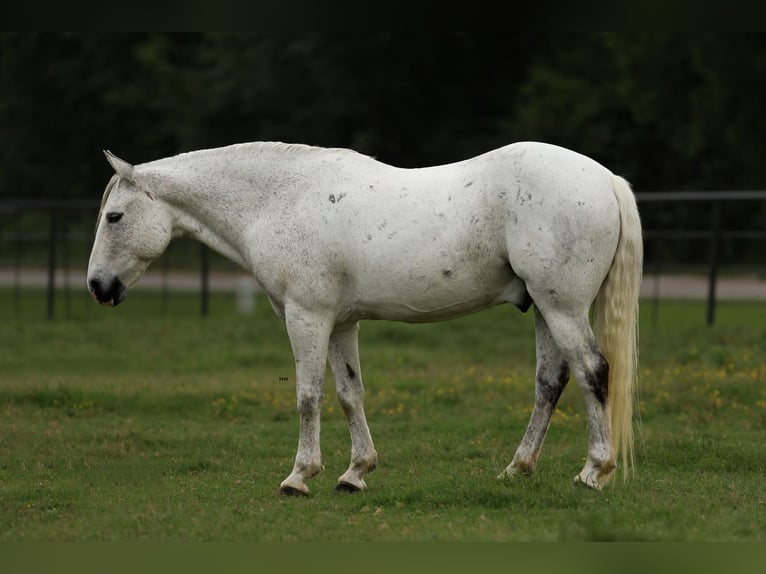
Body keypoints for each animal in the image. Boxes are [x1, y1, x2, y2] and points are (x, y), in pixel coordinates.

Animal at [87, 141, 642, 494]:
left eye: (114, 217)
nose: (97, 287)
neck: (280, 199)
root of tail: (604, 178)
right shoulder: (341, 323)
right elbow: (350, 394)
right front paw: (355, 473)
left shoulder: (306, 317)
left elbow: (308, 396)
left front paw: (299, 477)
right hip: (546, 311)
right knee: (550, 383)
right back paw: (518, 468)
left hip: (562, 308)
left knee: (593, 372)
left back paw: (594, 472)